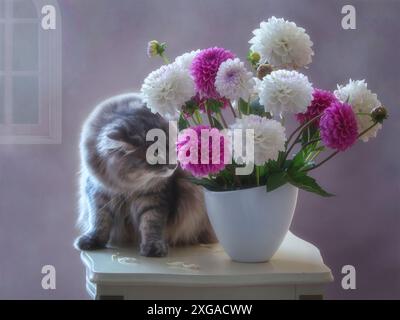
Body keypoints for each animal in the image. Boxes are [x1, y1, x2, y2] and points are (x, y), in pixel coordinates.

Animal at [74, 93, 216, 258]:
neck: (127, 186)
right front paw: (92, 241)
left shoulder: (155, 196)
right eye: (155, 154)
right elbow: (99, 220)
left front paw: (153, 248)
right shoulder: (99, 193)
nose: (174, 165)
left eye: (173, 147)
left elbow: (151, 223)